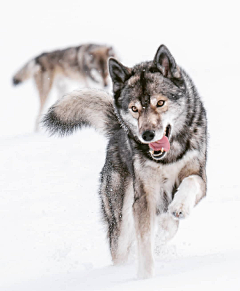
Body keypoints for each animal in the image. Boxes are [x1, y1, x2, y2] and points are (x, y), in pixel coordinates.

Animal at [42, 45, 207, 280]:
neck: (168, 157)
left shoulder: (199, 176)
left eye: (160, 103)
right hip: (121, 219)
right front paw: (145, 278)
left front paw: (179, 208)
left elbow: (189, 185)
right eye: (134, 108)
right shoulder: (144, 198)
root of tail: (117, 129)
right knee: (121, 249)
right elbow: (145, 243)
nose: (147, 135)